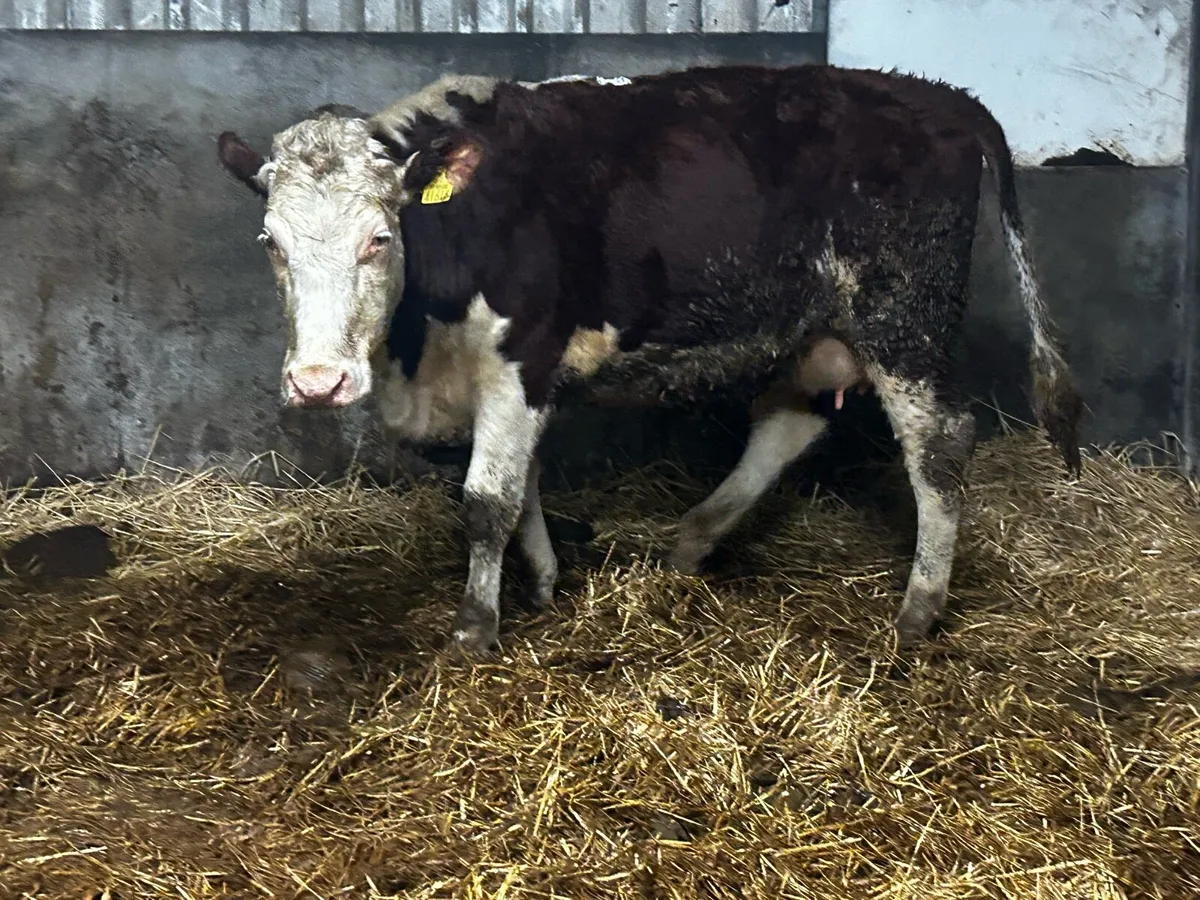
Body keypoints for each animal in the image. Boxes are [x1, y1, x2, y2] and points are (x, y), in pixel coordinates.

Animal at [216, 64, 1084, 655]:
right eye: (270, 243)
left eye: (379, 237)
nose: (319, 382)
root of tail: (939, 95)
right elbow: (525, 482)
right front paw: (542, 582)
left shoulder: (522, 356)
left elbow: (488, 500)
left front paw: (475, 627)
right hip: (817, 328)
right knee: (790, 424)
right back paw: (690, 542)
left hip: (904, 316)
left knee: (940, 444)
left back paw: (919, 608)